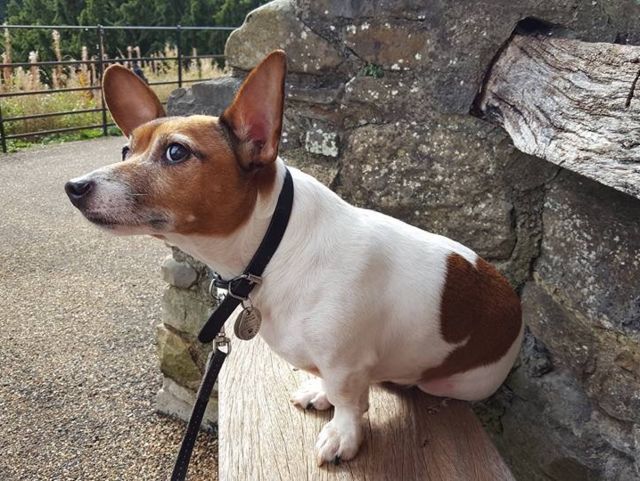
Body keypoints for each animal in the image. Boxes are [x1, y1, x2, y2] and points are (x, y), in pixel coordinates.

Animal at [65, 50, 523, 466]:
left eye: (176, 153)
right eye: (126, 151)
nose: (74, 187)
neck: (275, 249)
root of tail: (515, 315)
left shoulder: (345, 364)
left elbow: (349, 401)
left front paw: (343, 434)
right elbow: (337, 389)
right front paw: (323, 396)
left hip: (456, 384)